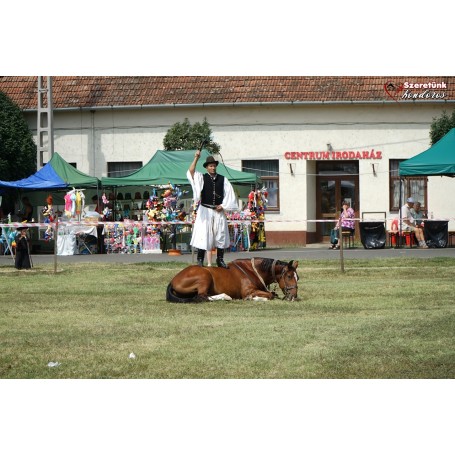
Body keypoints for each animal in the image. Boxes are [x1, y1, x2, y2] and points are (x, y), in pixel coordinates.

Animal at [167, 258, 300, 304]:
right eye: (289, 276)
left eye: (297, 277)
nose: (294, 296)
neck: (253, 270)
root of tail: (173, 280)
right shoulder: (248, 291)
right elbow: (269, 295)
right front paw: (254, 298)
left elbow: (272, 294)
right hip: (204, 276)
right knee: (202, 297)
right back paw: (225, 296)